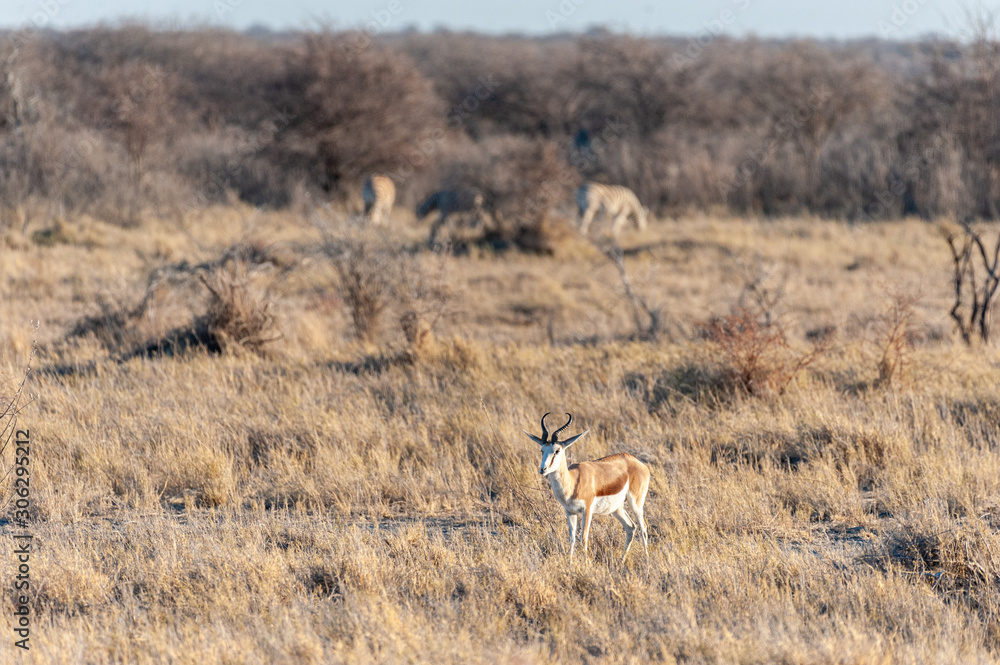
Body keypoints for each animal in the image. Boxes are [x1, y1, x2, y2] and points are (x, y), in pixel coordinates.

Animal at [524, 413, 650, 562]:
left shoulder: (587, 509)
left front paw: (585, 564)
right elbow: (572, 539)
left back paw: (647, 562)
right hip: (617, 508)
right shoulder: (570, 511)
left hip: (636, 504)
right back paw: (621, 561)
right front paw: (570, 563)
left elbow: (583, 538)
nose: (543, 469)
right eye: (542, 450)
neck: (572, 482)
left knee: (643, 528)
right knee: (631, 527)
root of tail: (640, 463)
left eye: (557, 450)